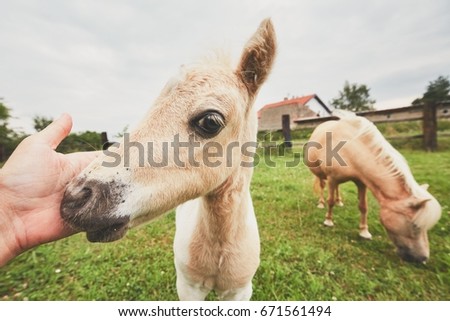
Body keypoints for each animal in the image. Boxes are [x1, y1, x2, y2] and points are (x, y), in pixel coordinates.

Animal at [304, 111, 442, 262]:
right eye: (415, 226)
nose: (423, 258)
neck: (351, 148)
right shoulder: (332, 178)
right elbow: (330, 201)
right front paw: (328, 221)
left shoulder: (361, 182)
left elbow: (363, 206)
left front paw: (364, 232)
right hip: (321, 174)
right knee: (323, 186)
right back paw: (321, 203)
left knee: (337, 190)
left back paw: (339, 201)